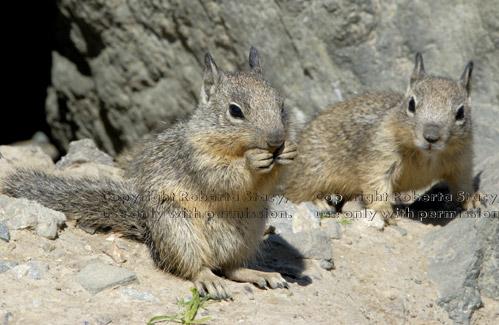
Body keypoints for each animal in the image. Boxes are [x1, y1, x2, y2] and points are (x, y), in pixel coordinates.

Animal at [0, 47, 296, 298]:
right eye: (235, 111)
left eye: (281, 105)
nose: (276, 139)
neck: (232, 148)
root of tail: (149, 230)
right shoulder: (195, 160)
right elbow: (221, 179)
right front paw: (252, 161)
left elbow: (272, 184)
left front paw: (289, 152)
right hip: (177, 229)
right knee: (196, 267)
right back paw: (209, 280)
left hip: (247, 235)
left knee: (231, 267)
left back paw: (260, 274)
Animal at [284, 52, 482, 223]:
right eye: (411, 104)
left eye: (461, 112)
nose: (431, 137)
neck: (428, 156)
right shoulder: (379, 155)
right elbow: (376, 183)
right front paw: (382, 209)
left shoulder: (462, 161)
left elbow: (462, 184)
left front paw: (472, 198)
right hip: (311, 173)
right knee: (293, 193)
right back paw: (319, 202)